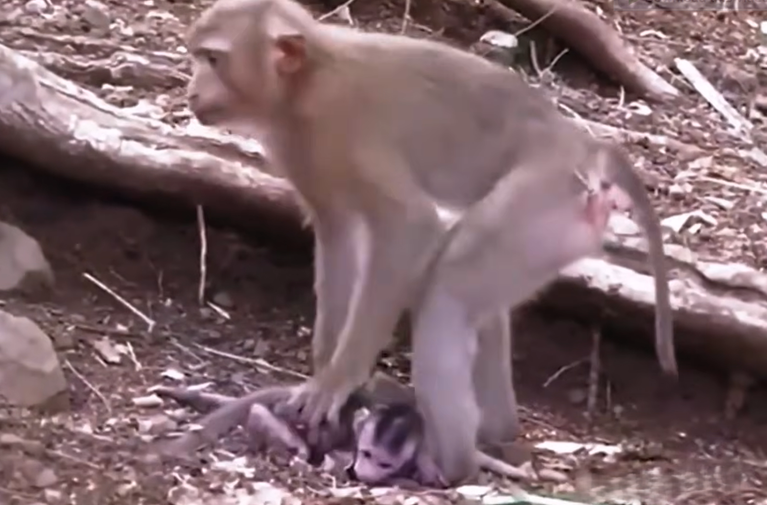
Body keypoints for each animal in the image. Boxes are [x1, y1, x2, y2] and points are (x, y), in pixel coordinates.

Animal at [185, 0, 675, 484]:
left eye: (213, 59)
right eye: (198, 56)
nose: (191, 91)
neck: (303, 85)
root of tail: (587, 149)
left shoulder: (343, 126)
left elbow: (409, 226)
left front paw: (338, 381)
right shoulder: (302, 147)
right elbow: (337, 231)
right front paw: (323, 376)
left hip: (546, 201)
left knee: (449, 288)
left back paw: (452, 465)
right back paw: (493, 431)